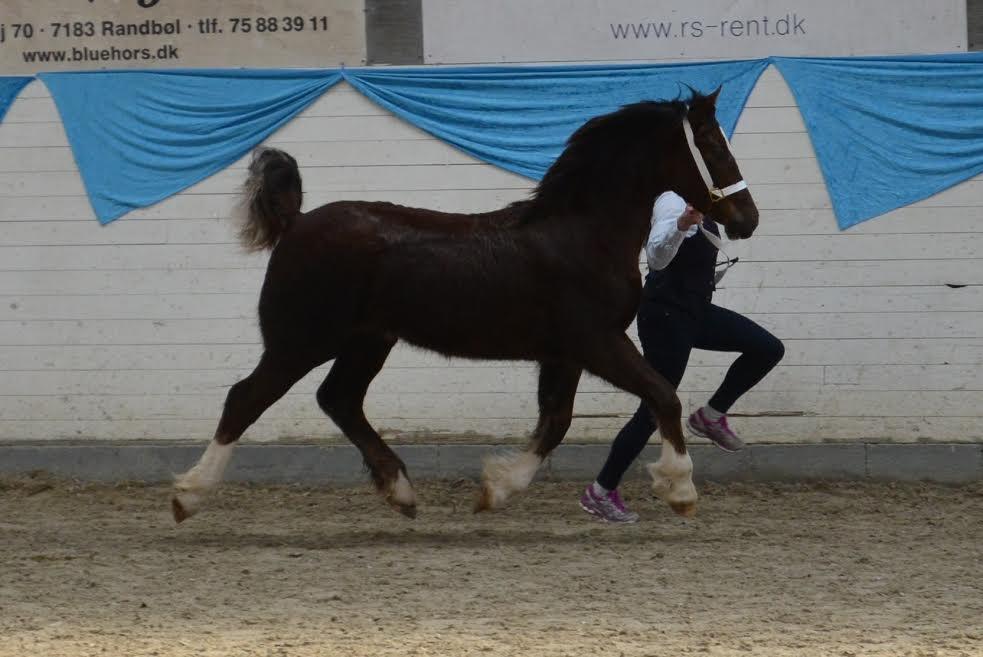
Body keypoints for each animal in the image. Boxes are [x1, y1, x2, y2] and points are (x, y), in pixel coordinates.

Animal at [173, 87, 760, 524]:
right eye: (711, 144)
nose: (747, 219)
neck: (582, 236)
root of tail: (295, 223)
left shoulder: (564, 354)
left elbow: (556, 421)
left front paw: (495, 489)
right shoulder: (598, 343)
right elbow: (662, 395)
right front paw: (680, 490)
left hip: (368, 341)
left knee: (338, 399)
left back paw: (402, 492)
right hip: (302, 340)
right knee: (246, 398)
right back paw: (188, 495)